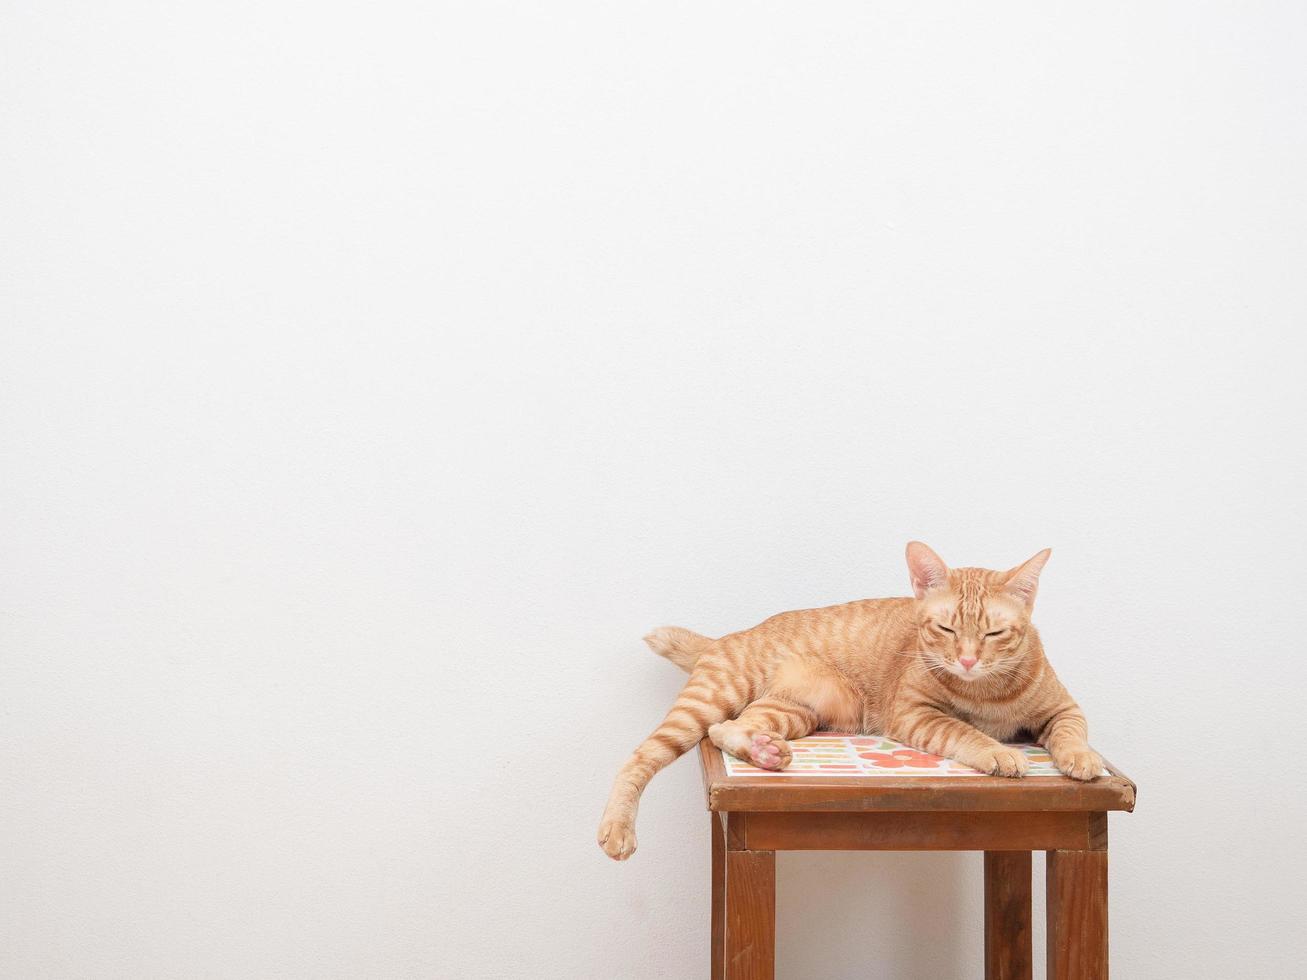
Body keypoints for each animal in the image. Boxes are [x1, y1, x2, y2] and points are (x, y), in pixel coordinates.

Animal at [598, 546, 1103, 857]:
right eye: (946, 629)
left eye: (994, 633)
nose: (966, 659)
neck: (987, 691)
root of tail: (726, 637)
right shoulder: (915, 714)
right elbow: (964, 730)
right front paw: (1000, 752)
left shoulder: (1064, 709)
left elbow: (1072, 733)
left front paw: (1081, 759)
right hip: (712, 698)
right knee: (642, 756)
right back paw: (618, 829)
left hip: (794, 712)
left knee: (728, 728)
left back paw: (765, 752)